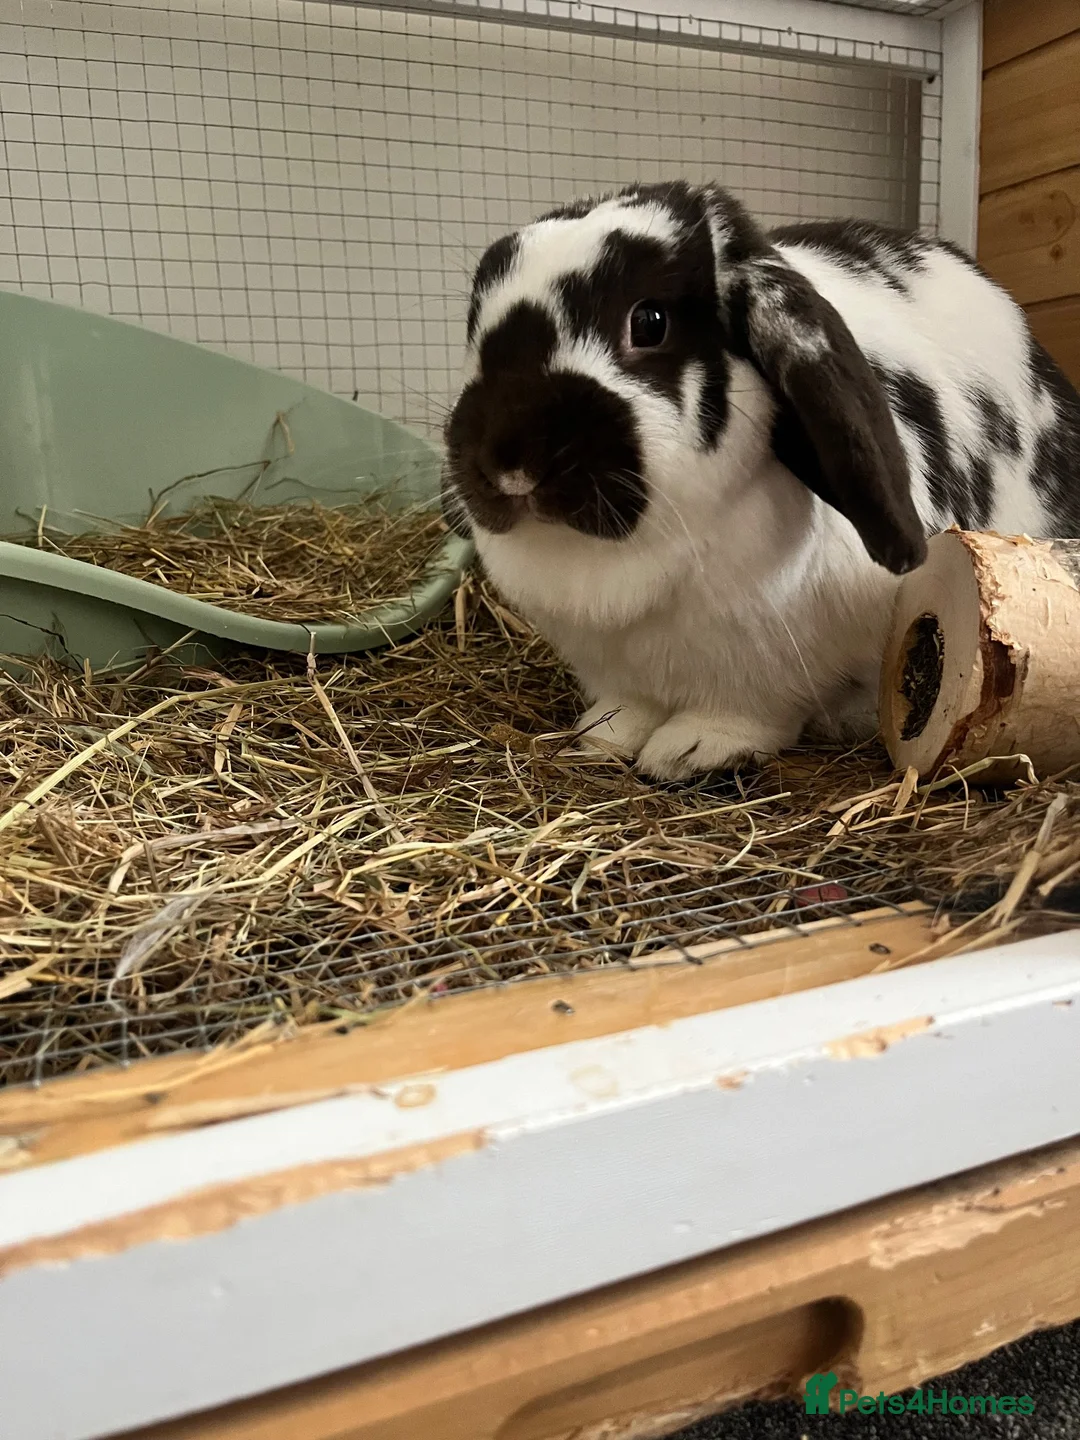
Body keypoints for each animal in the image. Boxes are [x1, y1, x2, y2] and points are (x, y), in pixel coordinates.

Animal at [441, 181, 1080, 780]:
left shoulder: (768, 667)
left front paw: (691, 749)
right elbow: (627, 707)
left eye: (648, 322)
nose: (507, 463)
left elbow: (746, 710)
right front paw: (605, 736)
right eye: (475, 329)